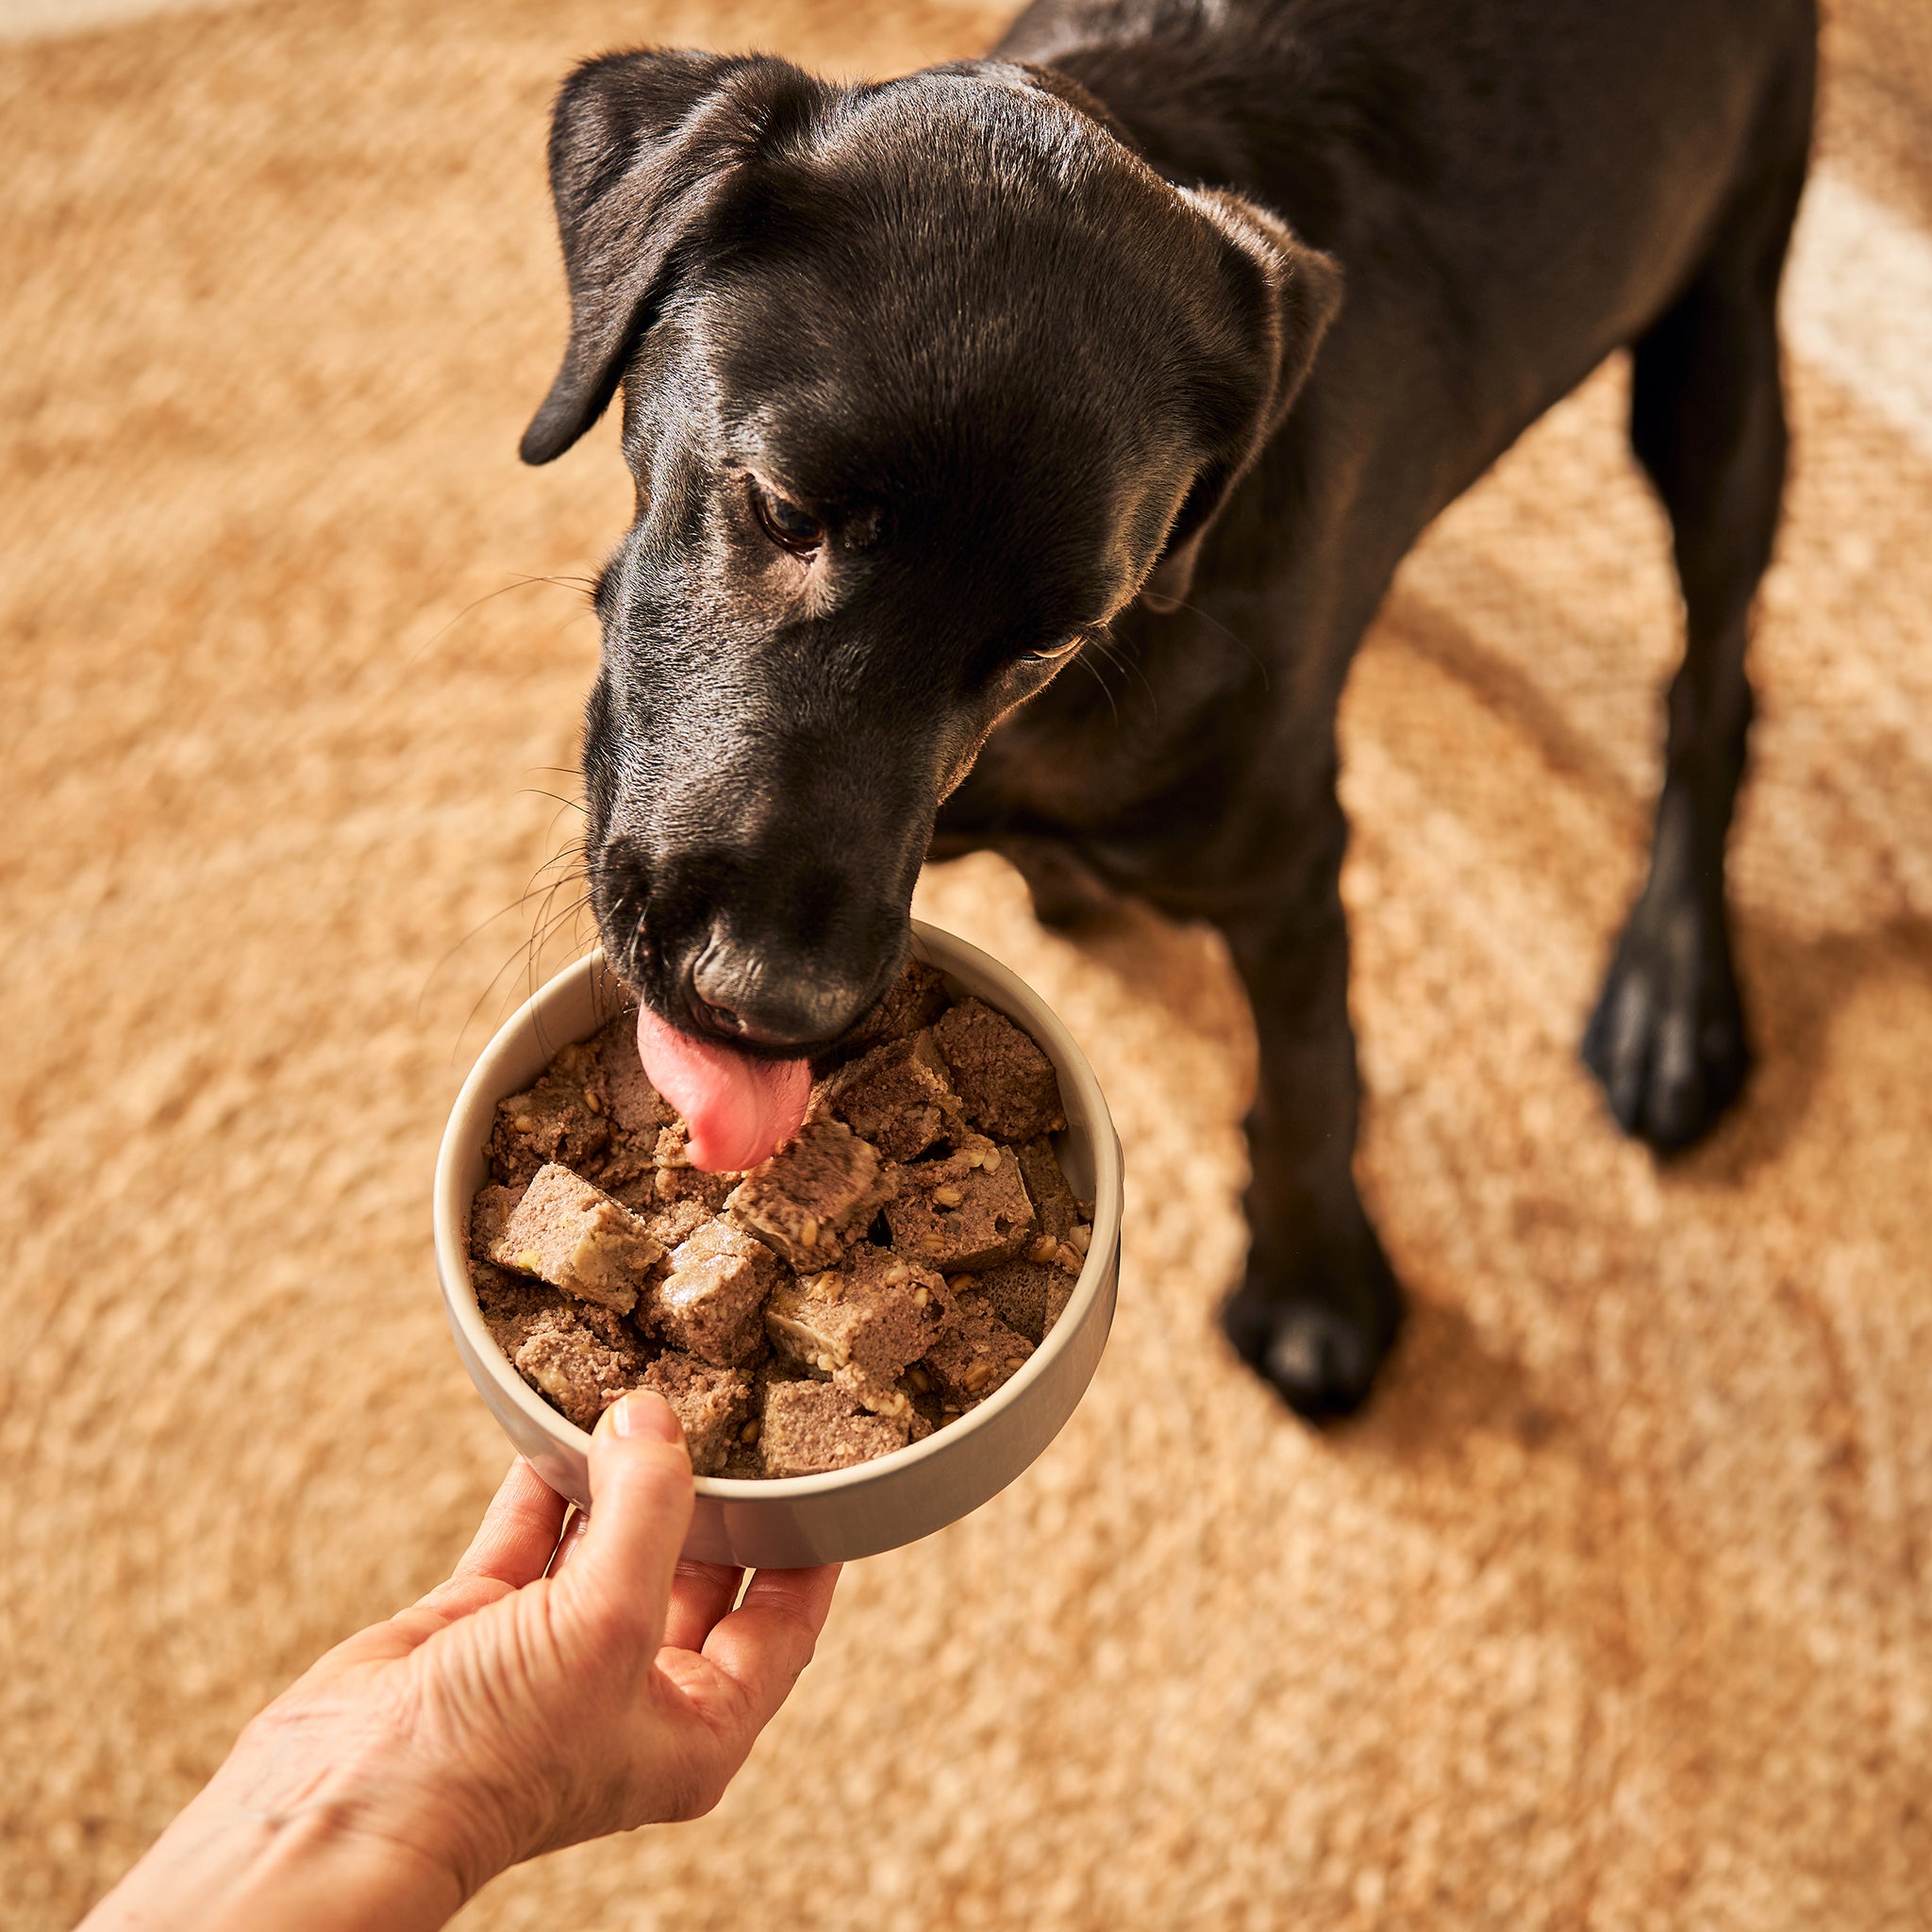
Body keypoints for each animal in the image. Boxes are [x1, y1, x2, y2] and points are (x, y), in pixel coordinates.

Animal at [513, 0, 1807, 1422]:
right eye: (784, 511)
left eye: (1051, 637)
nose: (770, 1003)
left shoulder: (1287, 859)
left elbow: (1311, 1070)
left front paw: (1312, 1281)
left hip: (1723, 337)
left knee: (1714, 685)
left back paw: (1671, 993)